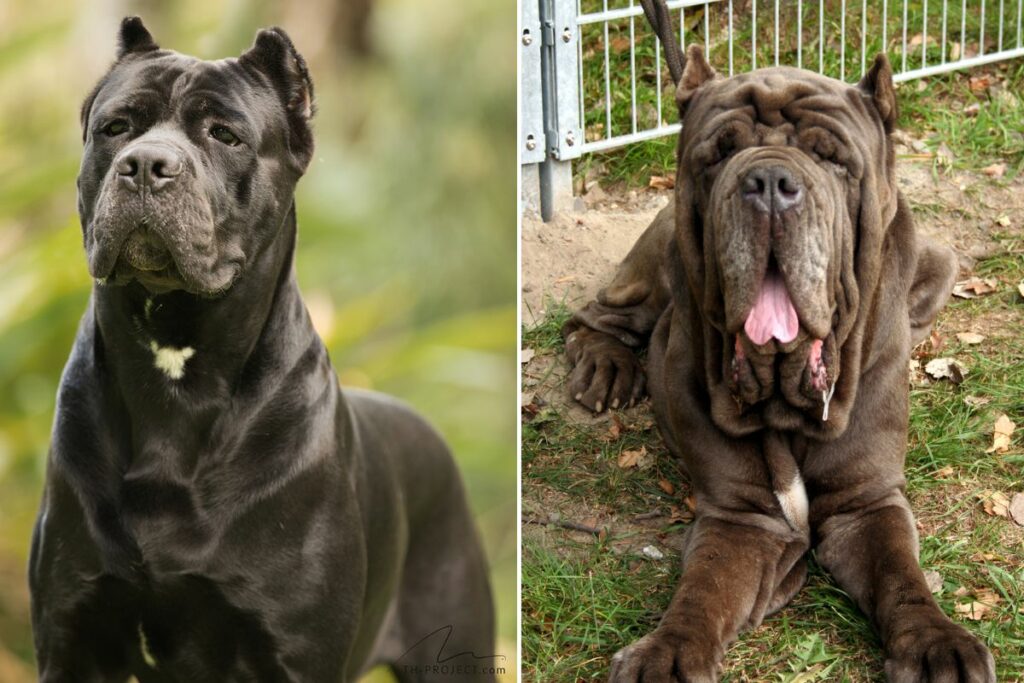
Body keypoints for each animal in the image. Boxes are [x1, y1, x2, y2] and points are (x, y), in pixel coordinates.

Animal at [29, 17, 495, 683]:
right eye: (117, 127)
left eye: (225, 135)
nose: (145, 164)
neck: (176, 371)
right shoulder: (73, 643)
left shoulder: (293, 652)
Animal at [565, 5, 995, 683]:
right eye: (719, 154)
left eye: (832, 159)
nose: (768, 180)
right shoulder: (744, 518)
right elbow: (705, 590)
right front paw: (667, 653)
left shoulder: (867, 502)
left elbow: (902, 575)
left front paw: (937, 644)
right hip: (654, 270)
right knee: (598, 315)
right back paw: (605, 367)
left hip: (938, 261)